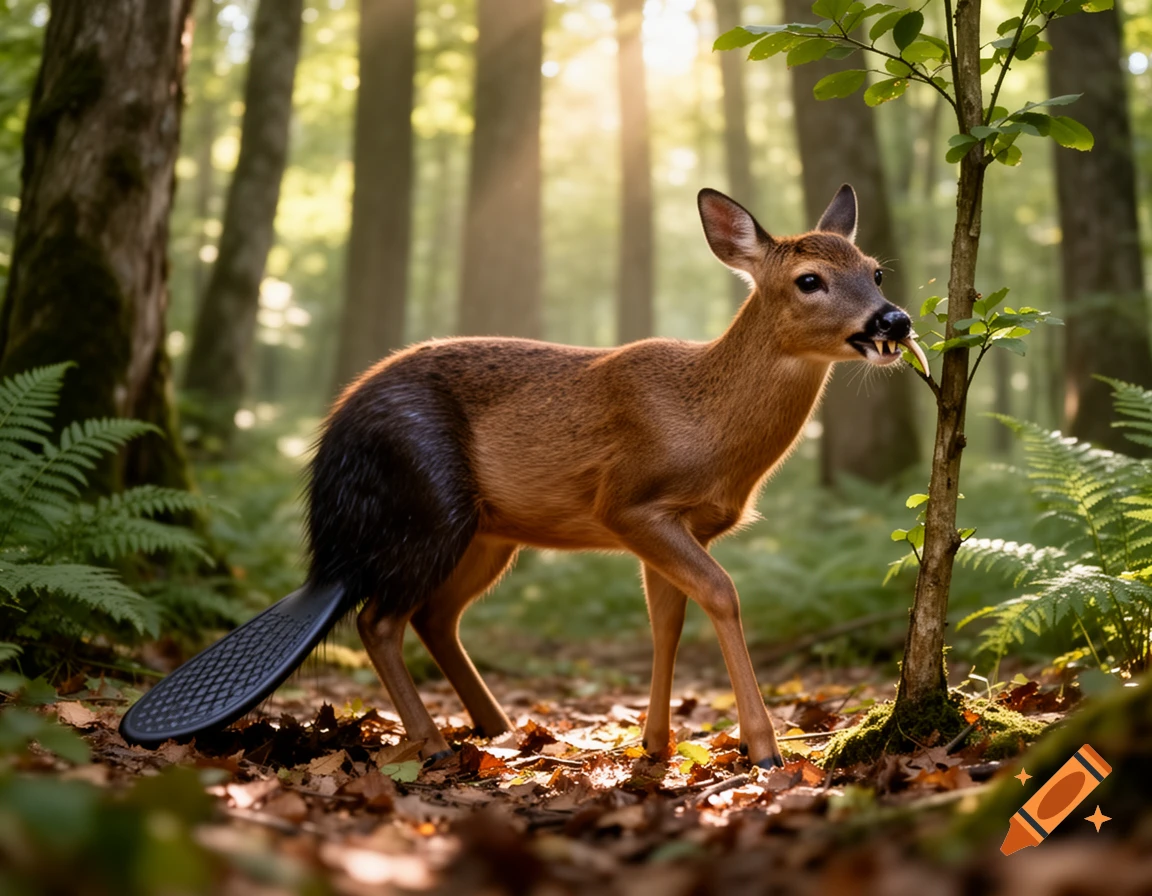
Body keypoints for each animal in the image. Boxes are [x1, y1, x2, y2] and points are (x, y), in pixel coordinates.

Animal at [120, 184, 927, 769]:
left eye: (876, 271)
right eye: (809, 279)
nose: (895, 320)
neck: (706, 420)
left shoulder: (677, 525)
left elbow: (667, 620)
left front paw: (656, 744)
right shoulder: (628, 503)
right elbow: (722, 594)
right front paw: (763, 750)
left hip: (487, 534)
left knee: (432, 617)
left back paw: (497, 727)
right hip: (429, 502)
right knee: (379, 619)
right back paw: (434, 743)